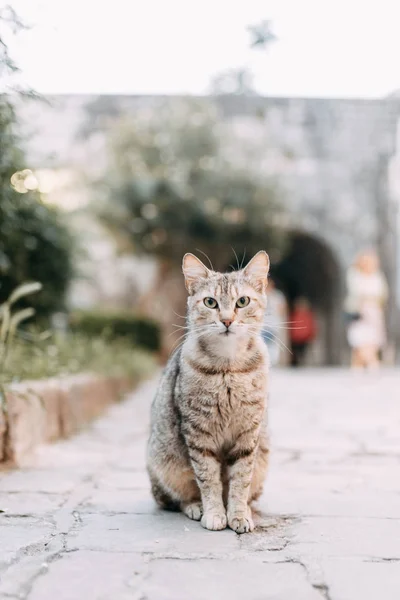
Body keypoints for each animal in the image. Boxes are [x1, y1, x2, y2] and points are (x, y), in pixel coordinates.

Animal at [145, 251, 270, 532]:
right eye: (210, 302)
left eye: (242, 301)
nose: (226, 320)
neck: (228, 368)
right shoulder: (199, 434)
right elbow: (208, 479)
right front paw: (214, 513)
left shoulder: (248, 434)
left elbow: (240, 481)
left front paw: (238, 514)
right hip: (165, 464)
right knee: (175, 498)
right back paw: (195, 506)